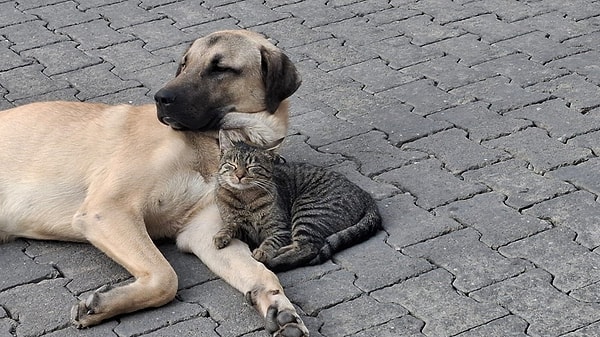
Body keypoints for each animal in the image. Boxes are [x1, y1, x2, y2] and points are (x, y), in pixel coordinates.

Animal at [0, 30, 308, 334]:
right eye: (184, 63)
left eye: (220, 68)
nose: (161, 98)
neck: (212, 143)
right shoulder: (108, 210)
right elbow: (165, 278)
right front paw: (103, 305)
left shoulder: (205, 230)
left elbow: (259, 271)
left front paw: (279, 306)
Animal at [213, 133, 382, 272]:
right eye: (232, 165)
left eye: (252, 166)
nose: (239, 175)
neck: (245, 198)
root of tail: (364, 193)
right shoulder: (243, 229)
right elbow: (231, 225)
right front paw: (221, 236)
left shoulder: (280, 229)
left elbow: (271, 241)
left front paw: (263, 252)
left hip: (307, 211)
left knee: (308, 247)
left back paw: (275, 261)